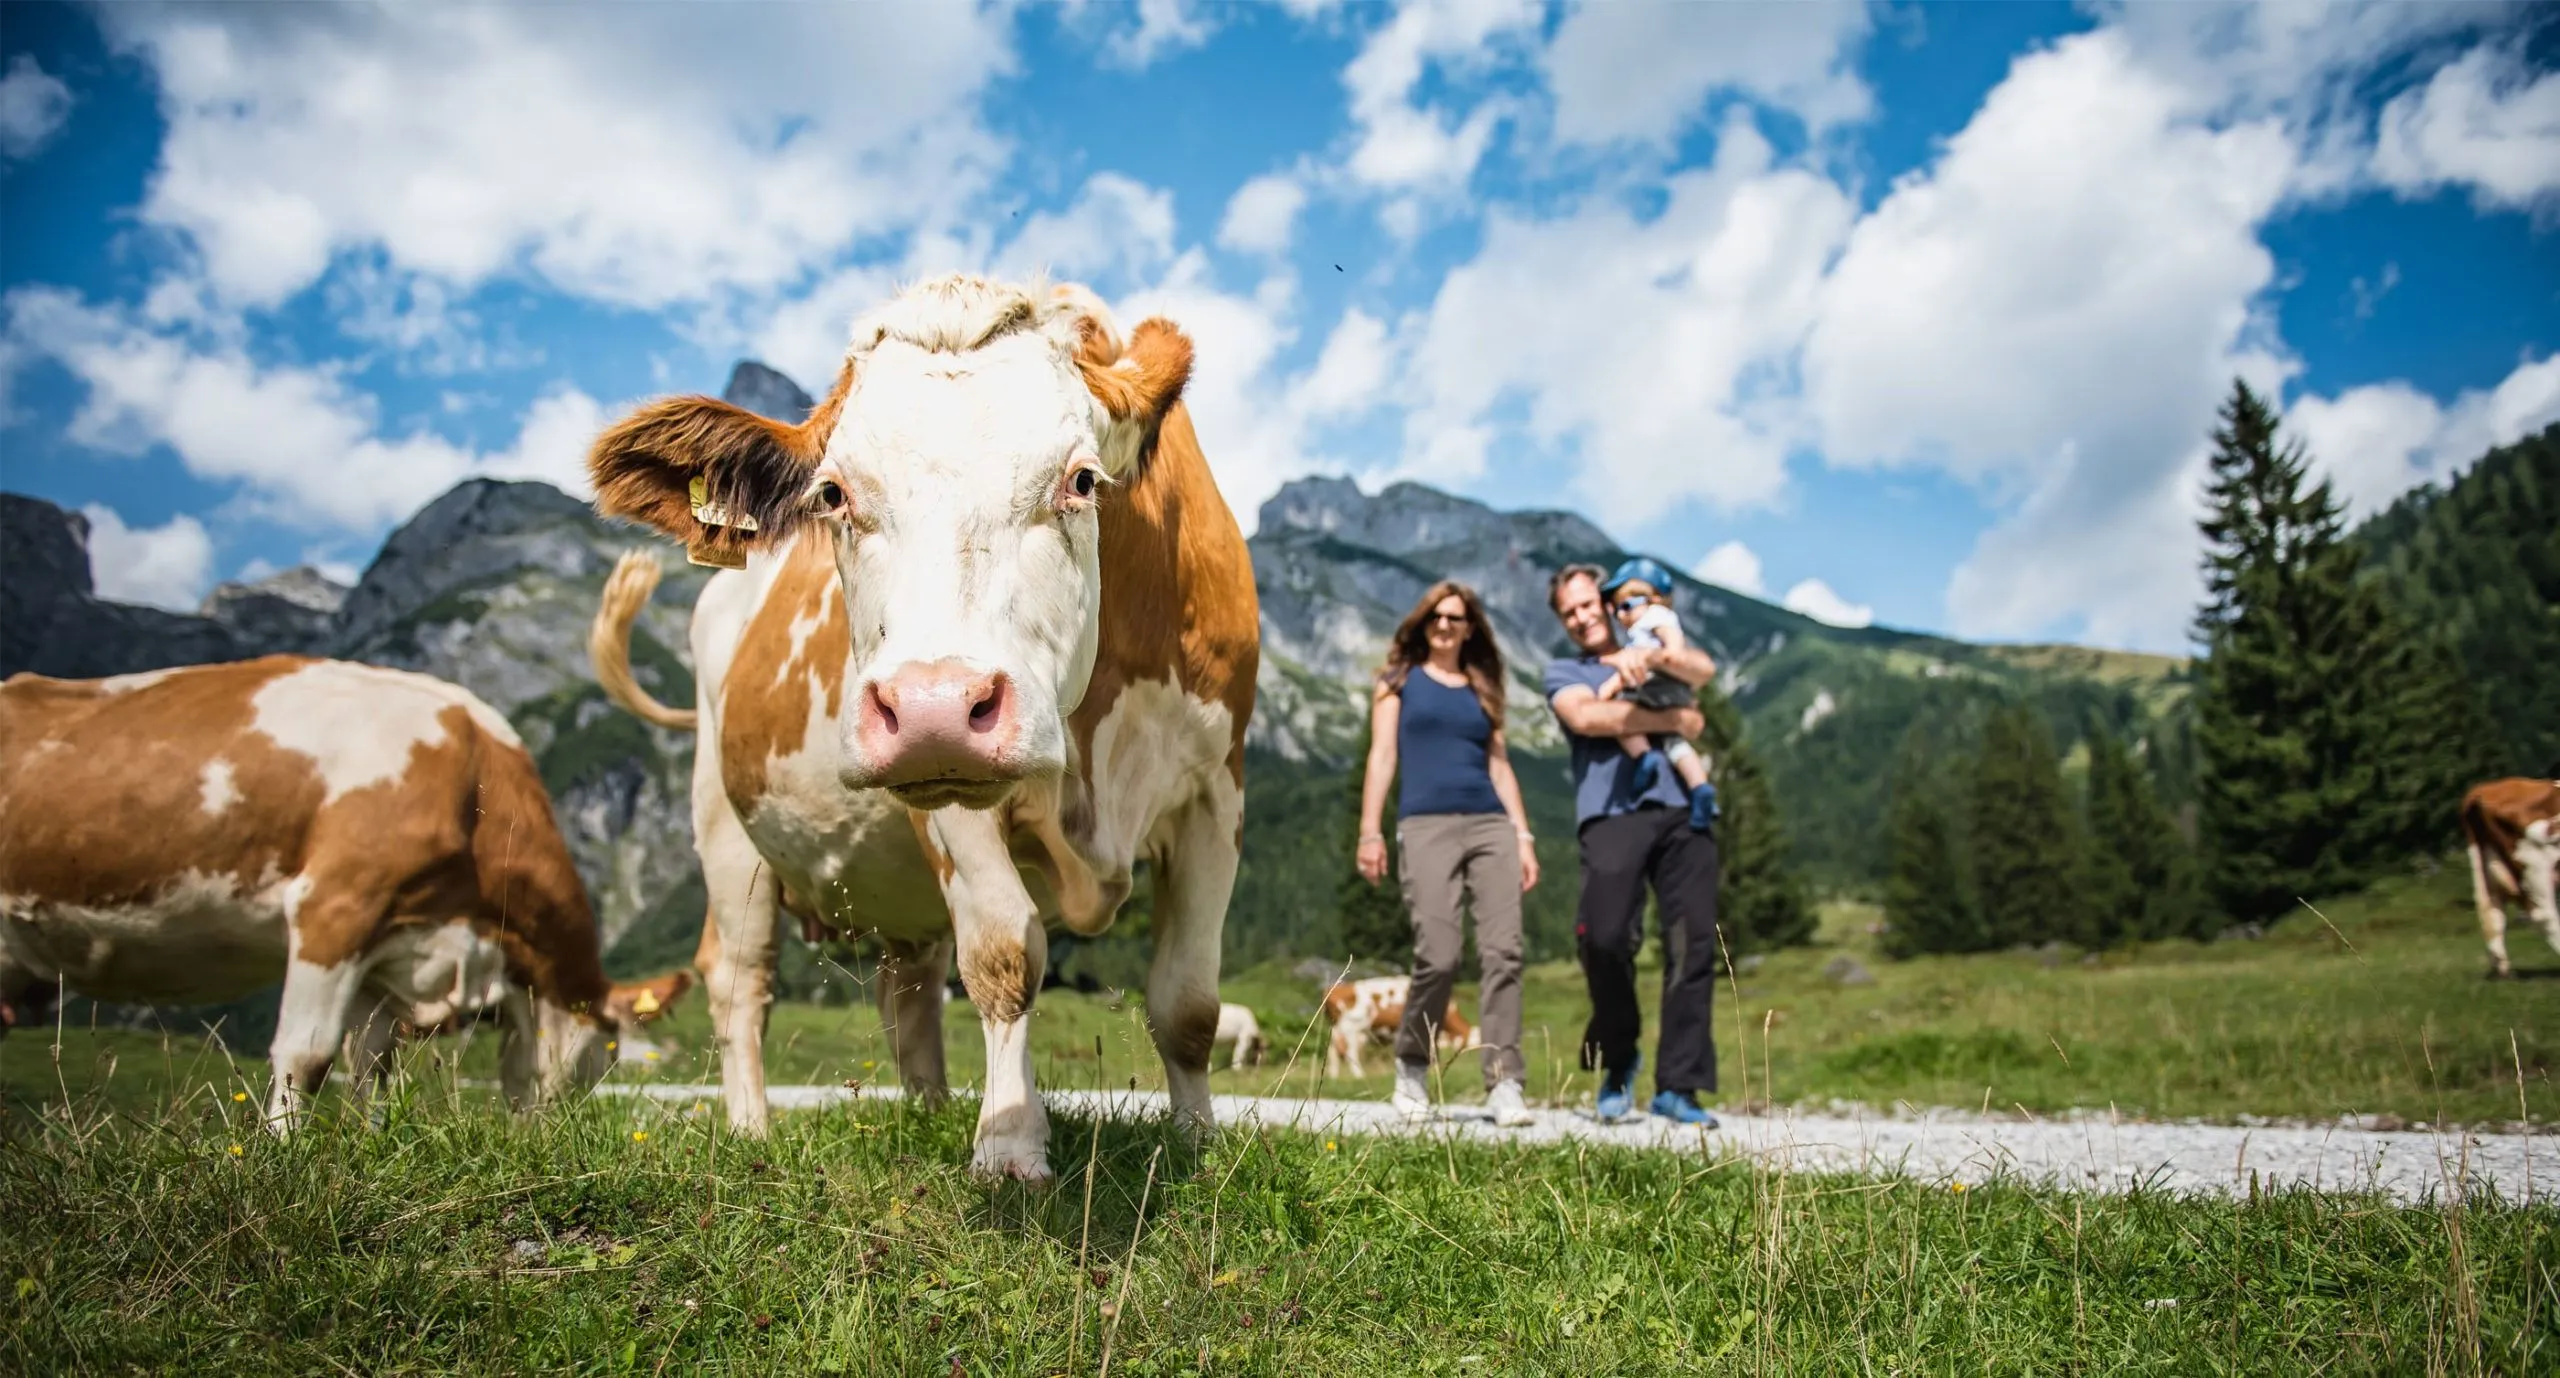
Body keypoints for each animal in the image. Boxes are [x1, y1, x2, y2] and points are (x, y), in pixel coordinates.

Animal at [0, 656, 693, 1129]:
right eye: (603, 1058)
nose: (558, 1132)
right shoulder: (335, 907)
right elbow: (307, 1055)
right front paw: (282, 1158)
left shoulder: (387, 953)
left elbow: (372, 1071)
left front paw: (371, 1146)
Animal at [583, 274, 1258, 1181]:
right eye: (833, 495)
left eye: (1081, 480)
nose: (934, 706)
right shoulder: (951, 797)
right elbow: (1005, 956)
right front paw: (1009, 1144)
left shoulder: (1216, 793)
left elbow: (1188, 1002)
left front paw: (1198, 1142)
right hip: (724, 826)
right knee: (740, 982)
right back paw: (753, 1128)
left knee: (907, 990)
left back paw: (929, 1107)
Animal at [1321, 975, 1478, 1080]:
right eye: (1471, 1044)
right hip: (1351, 1029)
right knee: (1350, 1053)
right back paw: (1360, 1076)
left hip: (1338, 1030)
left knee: (1333, 1051)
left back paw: (1333, 1077)